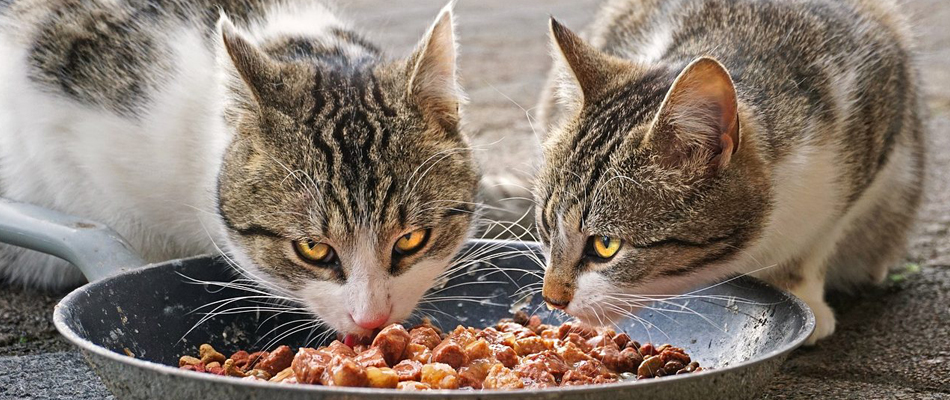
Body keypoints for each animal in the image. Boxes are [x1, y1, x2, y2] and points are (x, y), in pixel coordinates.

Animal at [536, 0, 924, 344]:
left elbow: (818, 240)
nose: (551, 298)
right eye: (545, 225)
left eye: (606, 245)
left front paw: (803, 292)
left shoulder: (877, 123)